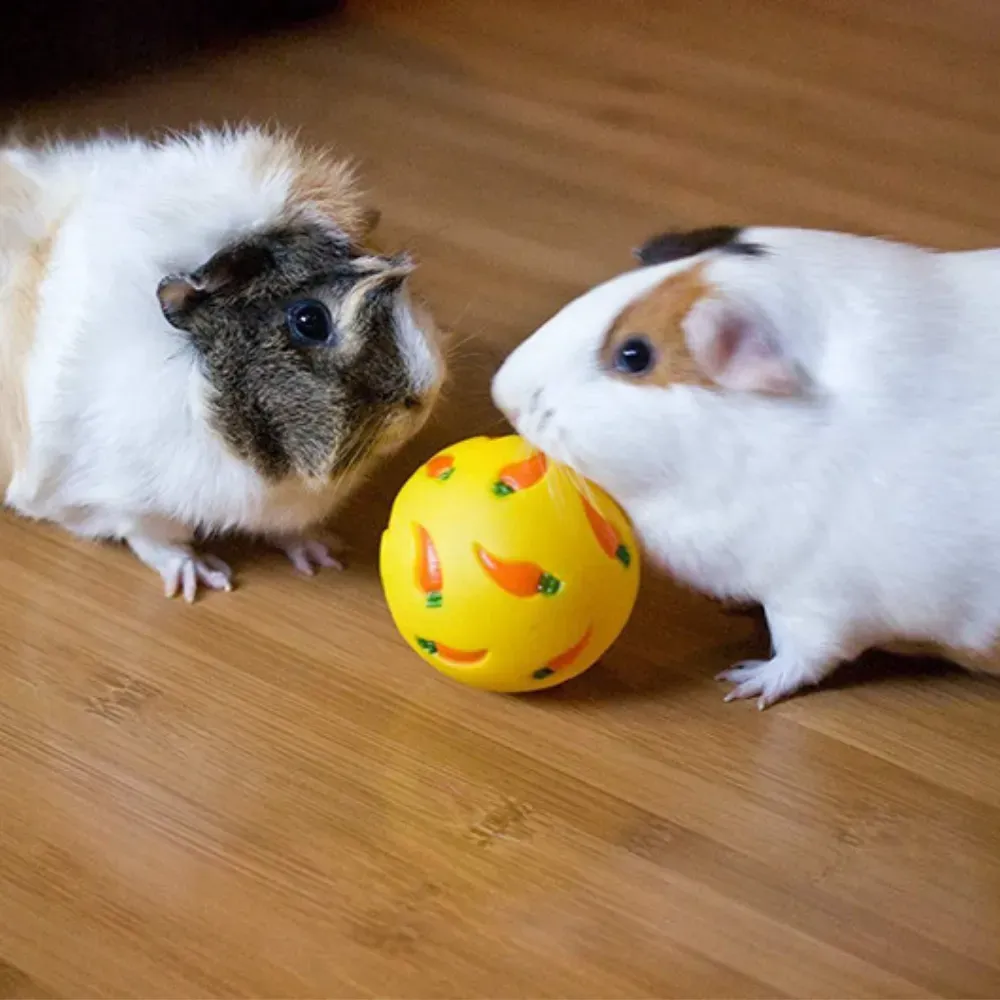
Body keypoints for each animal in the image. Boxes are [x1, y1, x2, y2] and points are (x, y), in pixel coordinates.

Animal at [0, 125, 444, 601]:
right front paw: (203, 581)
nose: (426, 393)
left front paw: (324, 555)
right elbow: (154, 540)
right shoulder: (123, 499)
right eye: (310, 319)